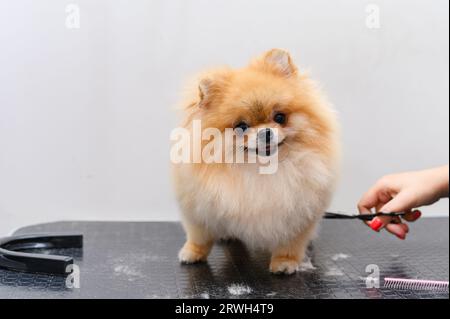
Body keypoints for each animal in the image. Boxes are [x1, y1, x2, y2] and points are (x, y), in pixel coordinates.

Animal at [171, 49, 340, 276]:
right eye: (241, 126)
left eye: (280, 117)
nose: (266, 132)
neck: (261, 170)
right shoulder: (198, 208)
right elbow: (199, 235)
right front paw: (192, 252)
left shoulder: (298, 214)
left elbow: (290, 244)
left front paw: (285, 262)